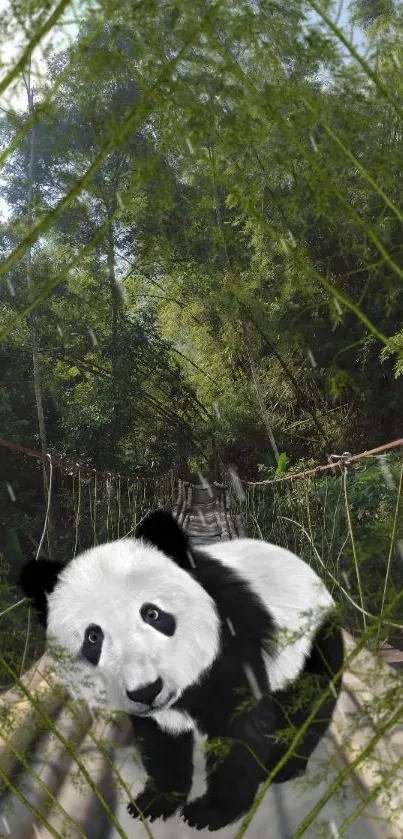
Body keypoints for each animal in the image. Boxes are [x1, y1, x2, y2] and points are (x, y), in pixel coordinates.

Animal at [19, 508, 346, 832]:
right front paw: (156, 802)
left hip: (312, 641)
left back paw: (283, 765)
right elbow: (161, 740)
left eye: (152, 614)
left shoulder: (232, 642)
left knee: (307, 702)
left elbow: (241, 726)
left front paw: (211, 811)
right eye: (93, 637)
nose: (147, 691)